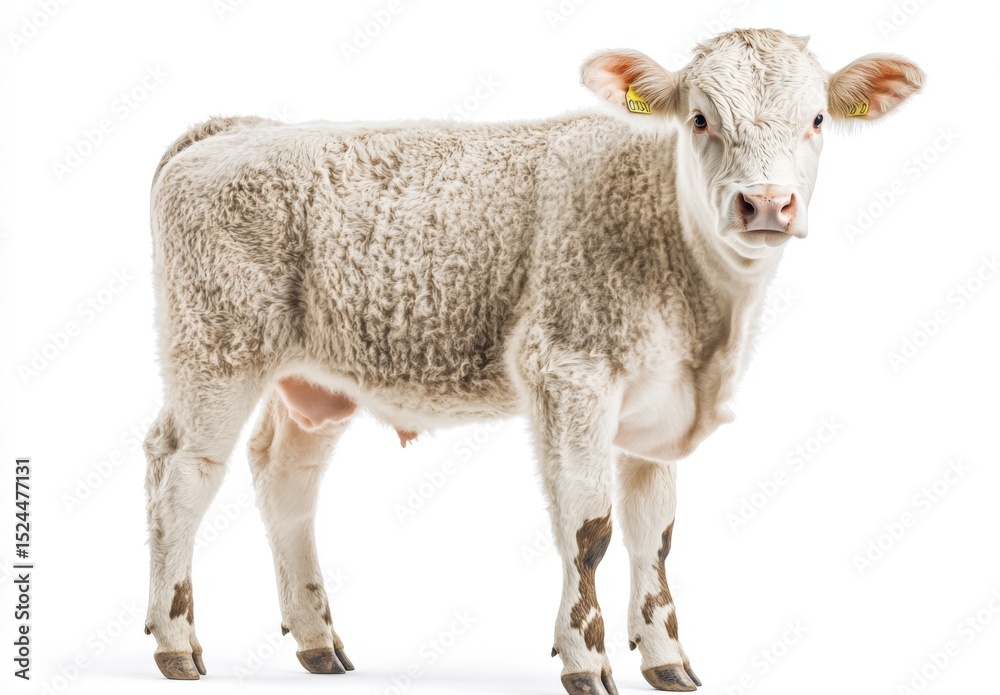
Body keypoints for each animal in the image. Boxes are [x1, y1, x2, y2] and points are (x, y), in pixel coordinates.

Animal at [142, 28, 923, 693]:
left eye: (817, 118)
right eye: (700, 118)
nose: (765, 203)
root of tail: (240, 126)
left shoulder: (656, 406)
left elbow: (655, 535)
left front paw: (666, 657)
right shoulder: (568, 372)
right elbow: (590, 529)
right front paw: (586, 658)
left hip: (311, 378)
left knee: (286, 480)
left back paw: (317, 641)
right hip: (216, 347)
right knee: (181, 473)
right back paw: (176, 643)